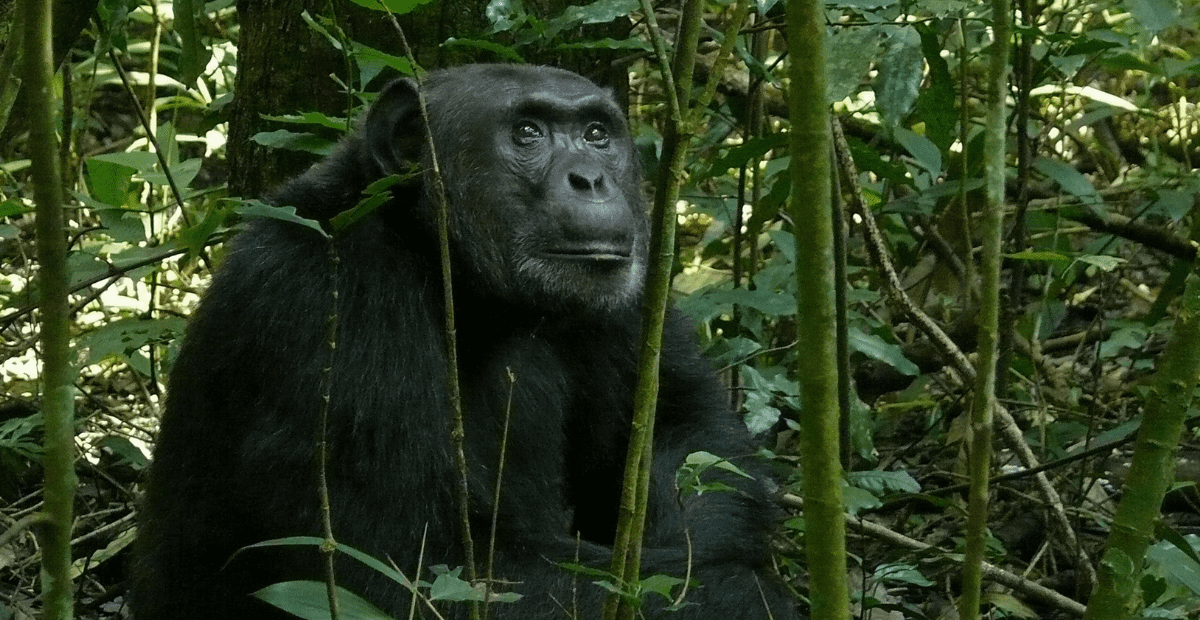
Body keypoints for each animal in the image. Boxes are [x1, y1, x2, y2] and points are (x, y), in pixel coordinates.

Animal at [131, 65, 796, 614]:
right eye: (526, 132)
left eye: (596, 133)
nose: (591, 179)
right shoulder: (328, 309)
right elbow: (413, 568)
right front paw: (744, 595)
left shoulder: (630, 296)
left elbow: (685, 425)